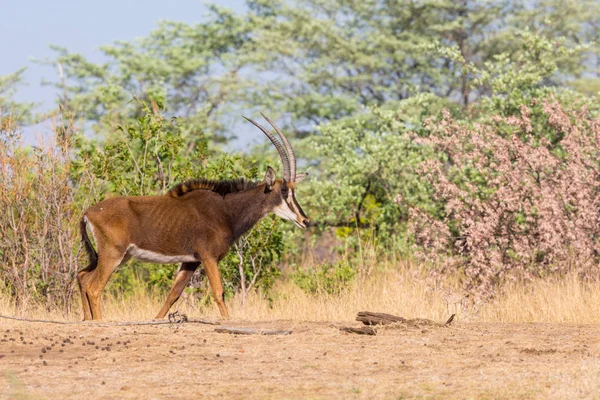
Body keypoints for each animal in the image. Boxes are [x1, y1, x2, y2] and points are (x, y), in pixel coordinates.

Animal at [76, 114, 310, 320]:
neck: (225, 210)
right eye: (283, 191)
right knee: (94, 287)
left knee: (82, 277)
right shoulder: (208, 256)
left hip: (117, 256)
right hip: (113, 254)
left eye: (293, 189)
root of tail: (88, 212)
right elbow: (218, 292)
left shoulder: (191, 261)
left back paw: (87, 320)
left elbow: (173, 294)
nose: (305, 221)